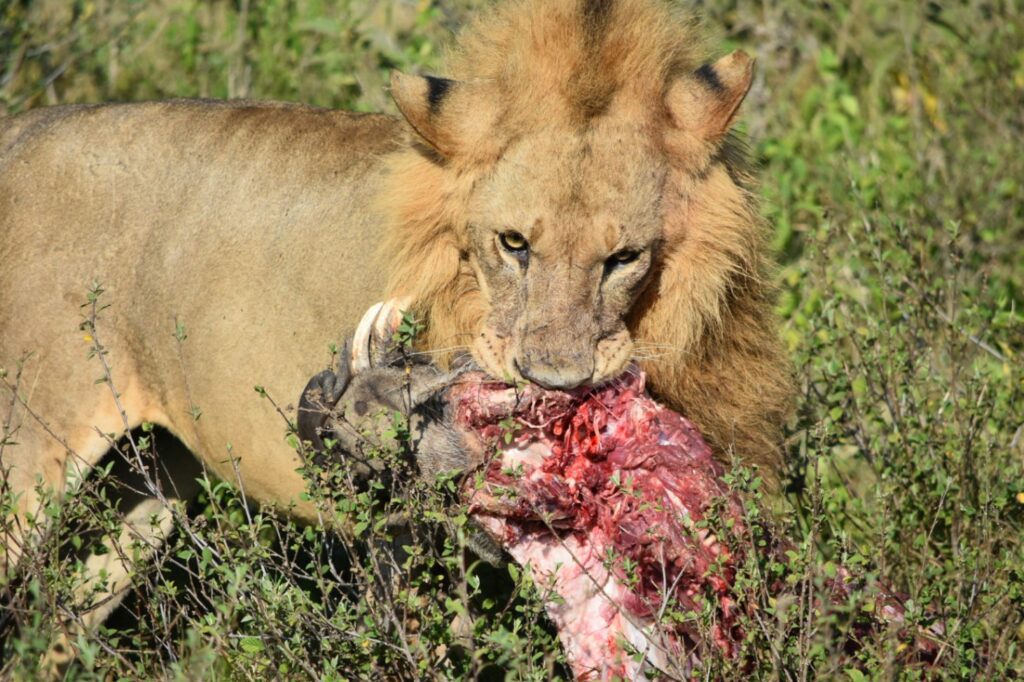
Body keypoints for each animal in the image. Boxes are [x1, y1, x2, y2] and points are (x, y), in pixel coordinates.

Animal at [0, 0, 790, 655]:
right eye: (513, 243)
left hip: (149, 488)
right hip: (26, 465)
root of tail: (19, 128)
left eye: (623, 258)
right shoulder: (406, 538)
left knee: (61, 623)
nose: (555, 382)